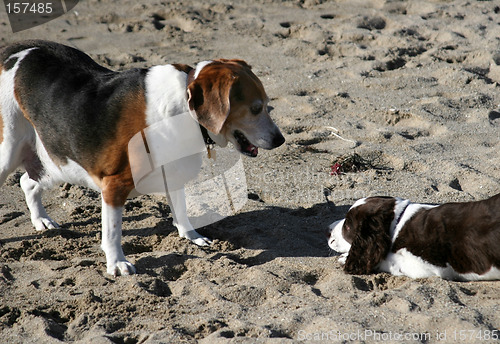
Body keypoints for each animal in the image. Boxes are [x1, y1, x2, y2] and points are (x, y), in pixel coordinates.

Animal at [0, 39, 286, 276]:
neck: (184, 108)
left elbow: (181, 210)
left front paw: (190, 235)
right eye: (256, 109)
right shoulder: (114, 186)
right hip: (10, 152)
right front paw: (116, 263)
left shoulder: (173, 173)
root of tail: (18, 52)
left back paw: (41, 220)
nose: (280, 140)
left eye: (267, 105)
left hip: (58, 163)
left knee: (27, 182)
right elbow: (112, 233)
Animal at [328, 195, 500, 280]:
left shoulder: (426, 267)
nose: (327, 230)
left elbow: (389, 260)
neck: (398, 224)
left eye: (347, 227)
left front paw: (345, 257)